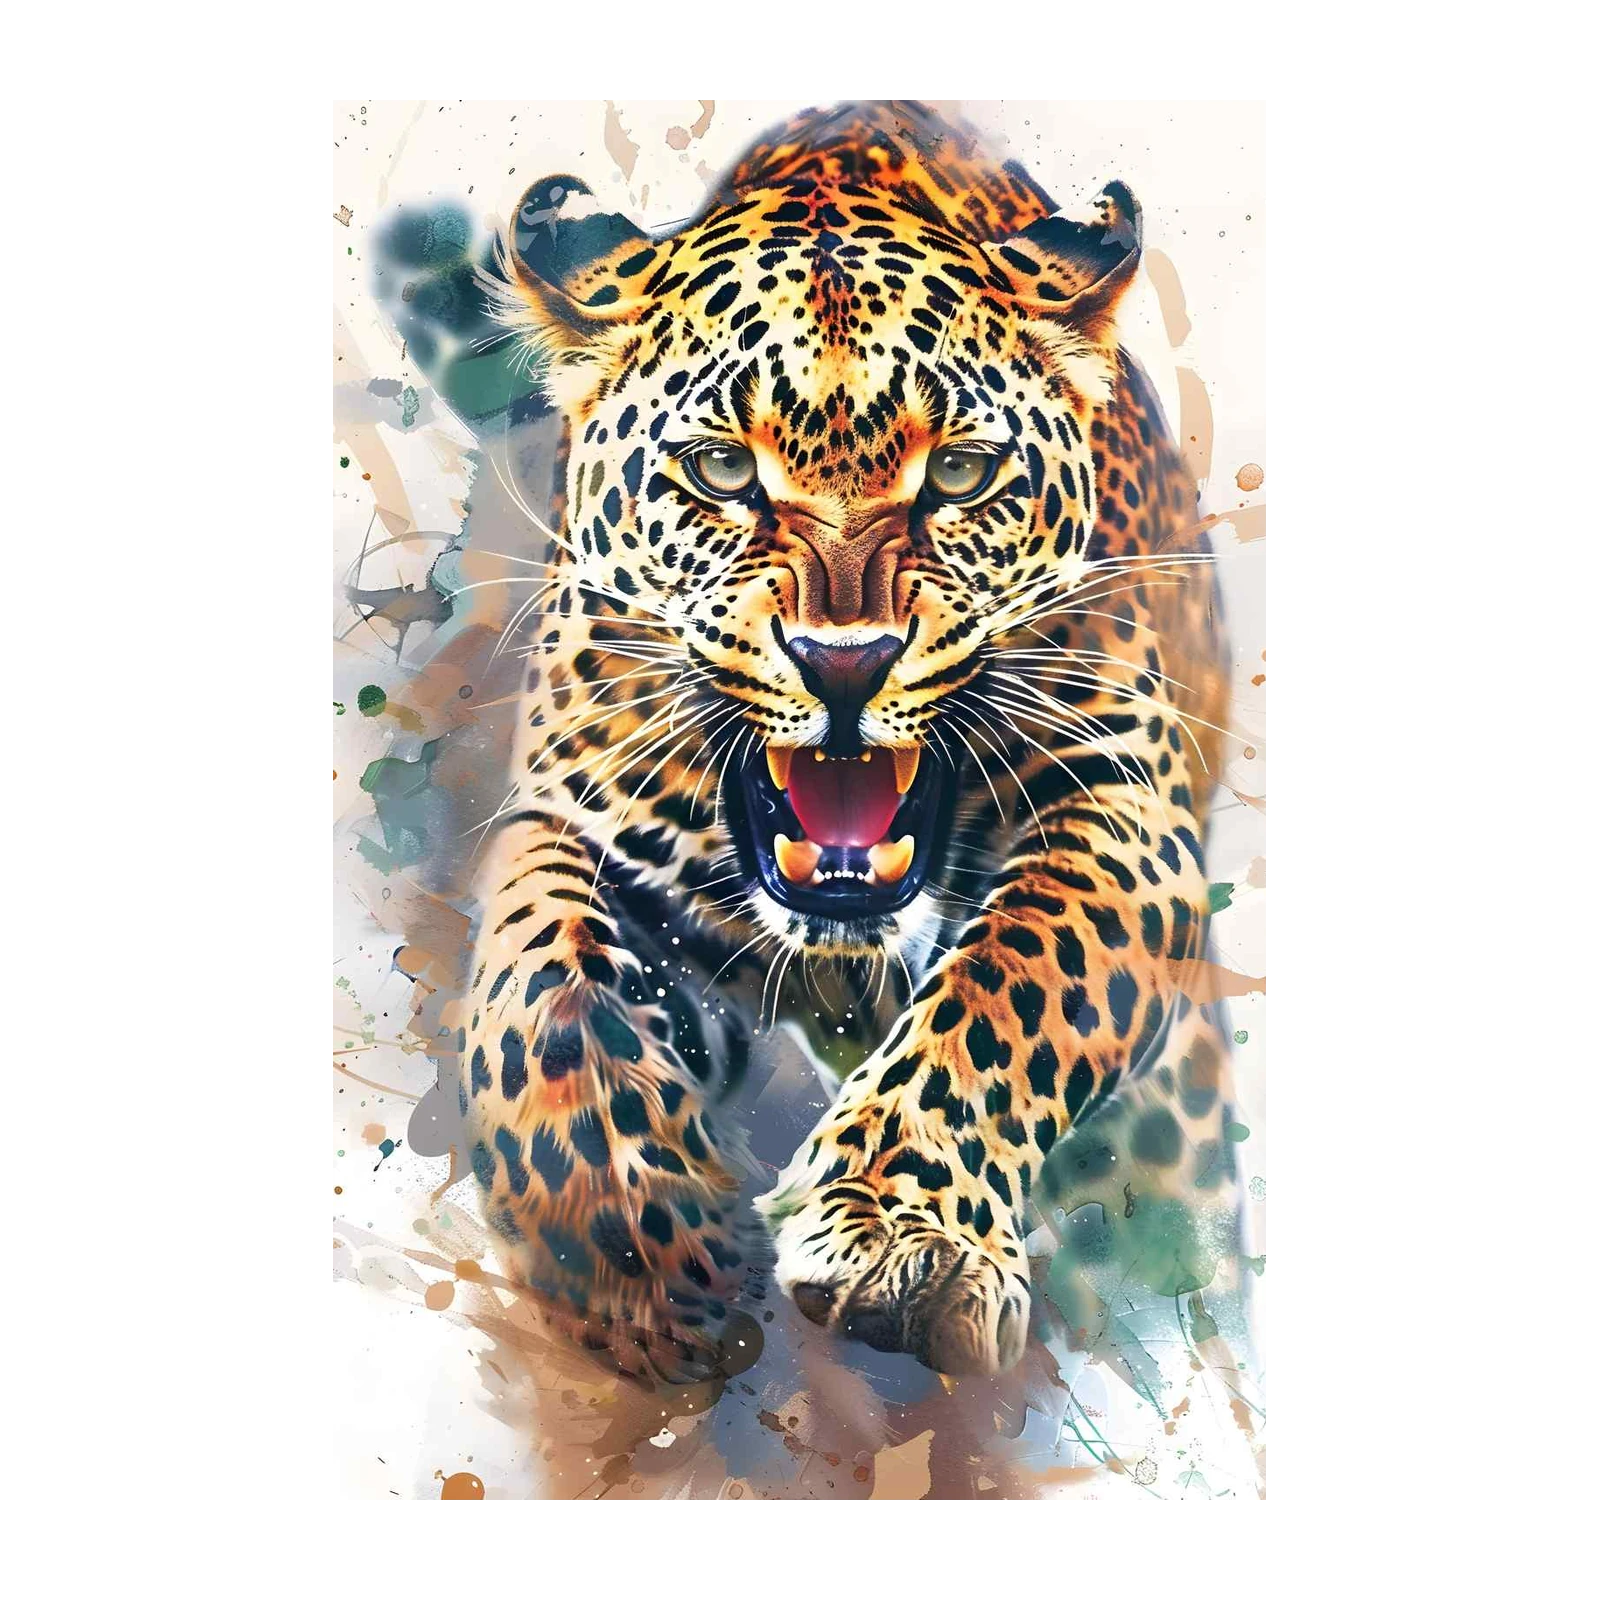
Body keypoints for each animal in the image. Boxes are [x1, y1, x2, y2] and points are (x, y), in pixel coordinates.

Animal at [456, 97, 1243, 1386]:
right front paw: (636, 1250)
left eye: (960, 473)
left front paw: (899, 1233)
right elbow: (538, 981)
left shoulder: (1123, 805)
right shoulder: (575, 807)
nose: (843, 661)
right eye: (723, 467)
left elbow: (1016, 977)